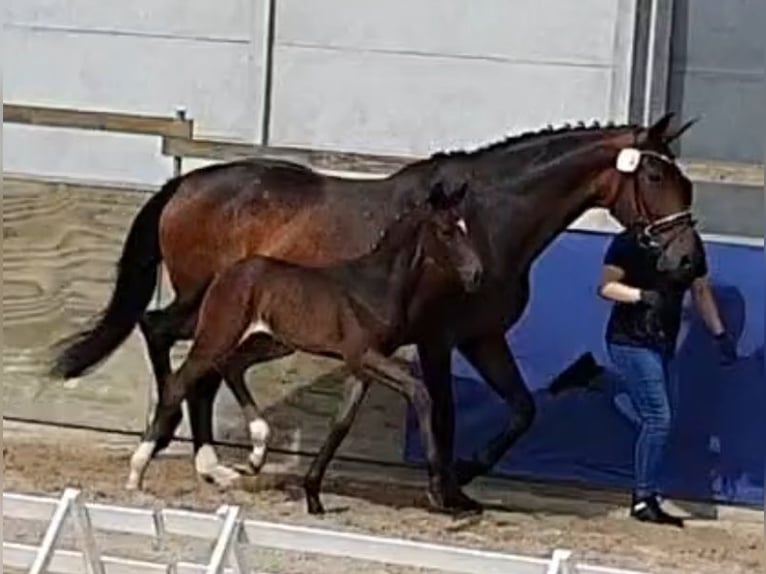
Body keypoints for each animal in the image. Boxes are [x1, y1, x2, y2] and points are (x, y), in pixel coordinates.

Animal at [128, 182, 484, 516]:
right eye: (446, 231)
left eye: (466, 227)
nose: (476, 273)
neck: (375, 285)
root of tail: (227, 273)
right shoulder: (363, 354)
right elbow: (419, 392)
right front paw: (437, 490)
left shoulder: (361, 367)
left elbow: (340, 425)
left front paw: (313, 496)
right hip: (219, 335)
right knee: (180, 381)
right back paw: (137, 472)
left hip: (271, 342)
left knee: (231, 366)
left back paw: (256, 454)